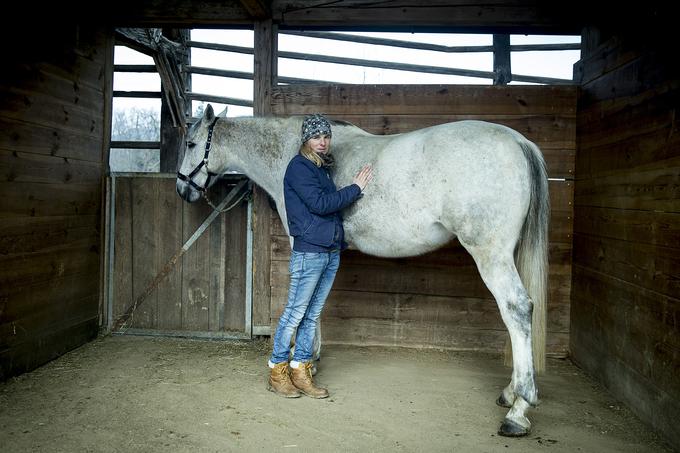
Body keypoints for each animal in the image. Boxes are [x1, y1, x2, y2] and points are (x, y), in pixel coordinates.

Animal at [177, 104, 552, 436]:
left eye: (191, 143)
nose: (182, 188)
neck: (294, 153)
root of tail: (519, 142)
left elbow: (307, 304)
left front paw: (306, 364)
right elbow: (318, 304)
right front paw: (311, 361)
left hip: (490, 253)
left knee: (517, 309)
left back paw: (518, 410)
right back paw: (509, 393)